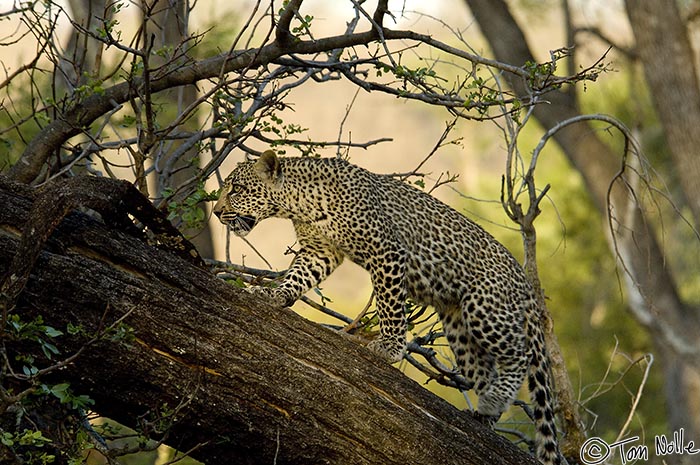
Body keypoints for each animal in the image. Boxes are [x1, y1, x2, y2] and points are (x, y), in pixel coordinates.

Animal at [213, 150, 564, 464]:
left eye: (237, 188)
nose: (216, 212)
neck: (297, 203)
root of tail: (524, 280)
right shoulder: (319, 252)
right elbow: (296, 277)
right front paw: (272, 295)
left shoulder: (387, 253)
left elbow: (390, 304)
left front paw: (390, 348)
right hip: (460, 330)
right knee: (485, 369)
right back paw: (485, 414)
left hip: (485, 309)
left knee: (521, 355)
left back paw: (494, 399)